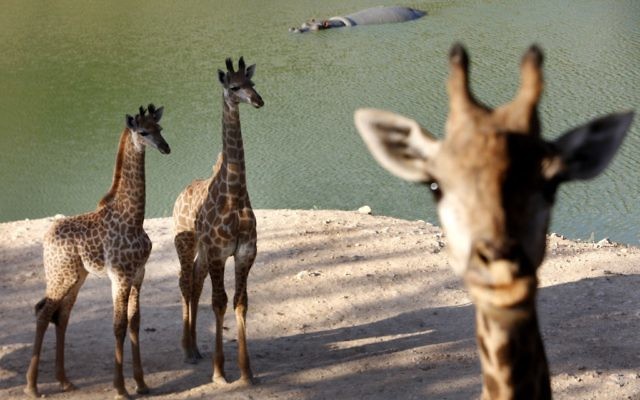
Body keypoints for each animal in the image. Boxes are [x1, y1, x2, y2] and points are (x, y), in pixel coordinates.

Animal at [24, 104, 170, 399]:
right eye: (143, 131)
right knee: (43, 311)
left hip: (77, 277)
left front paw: (142, 383)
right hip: (61, 275)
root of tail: (46, 238)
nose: (165, 147)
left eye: (160, 128)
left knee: (62, 316)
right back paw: (32, 387)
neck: (133, 218)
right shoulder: (120, 277)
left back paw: (65, 381)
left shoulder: (139, 275)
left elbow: (135, 322)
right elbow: (118, 325)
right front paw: (121, 388)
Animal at [173, 57, 263, 384]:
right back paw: (187, 350)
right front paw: (220, 373)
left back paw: (196, 349)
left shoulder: (245, 253)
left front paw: (247, 373)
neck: (234, 196)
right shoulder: (219, 253)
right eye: (234, 87)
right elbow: (219, 302)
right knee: (185, 282)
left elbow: (241, 302)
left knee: (195, 282)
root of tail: (180, 193)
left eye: (252, 82)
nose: (258, 100)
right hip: (186, 242)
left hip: (202, 250)